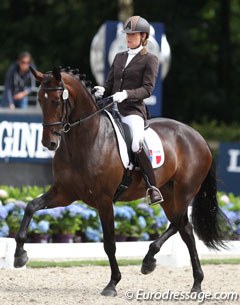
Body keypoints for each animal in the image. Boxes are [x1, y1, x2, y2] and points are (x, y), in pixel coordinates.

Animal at [13, 66, 229, 294]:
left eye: (56, 101)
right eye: (39, 100)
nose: (49, 143)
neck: (86, 139)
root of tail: (199, 137)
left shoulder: (104, 200)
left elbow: (109, 243)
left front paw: (112, 283)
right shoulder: (64, 193)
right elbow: (31, 206)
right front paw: (20, 256)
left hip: (184, 192)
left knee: (182, 226)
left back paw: (190, 280)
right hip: (168, 194)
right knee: (183, 227)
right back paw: (161, 266)